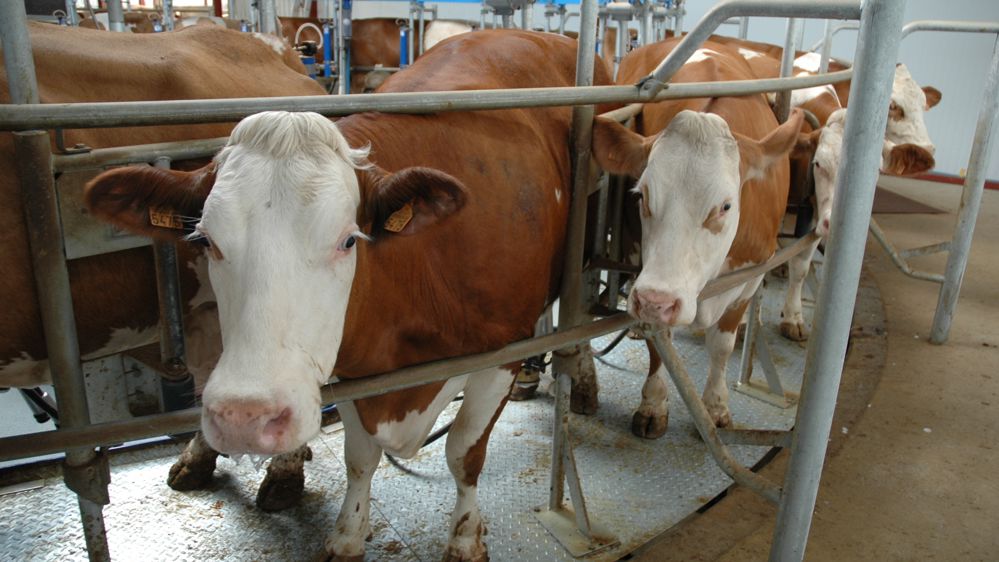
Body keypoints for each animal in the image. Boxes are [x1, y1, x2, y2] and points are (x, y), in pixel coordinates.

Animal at [84, 29, 612, 561]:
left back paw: (581, 380)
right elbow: (359, 457)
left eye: (348, 240)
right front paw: (347, 534)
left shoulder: (500, 352)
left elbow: (463, 452)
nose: (244, 417)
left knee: (581, 308)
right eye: (206, 240)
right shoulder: (354, 369)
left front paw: (464, 537)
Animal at [587, 38, 804, 437]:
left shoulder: (750, 278)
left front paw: (715, 406)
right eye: (642, 195)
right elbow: (661, 344)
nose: (655, 301)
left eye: (725, 206)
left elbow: (721, 345)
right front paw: (654, 403)